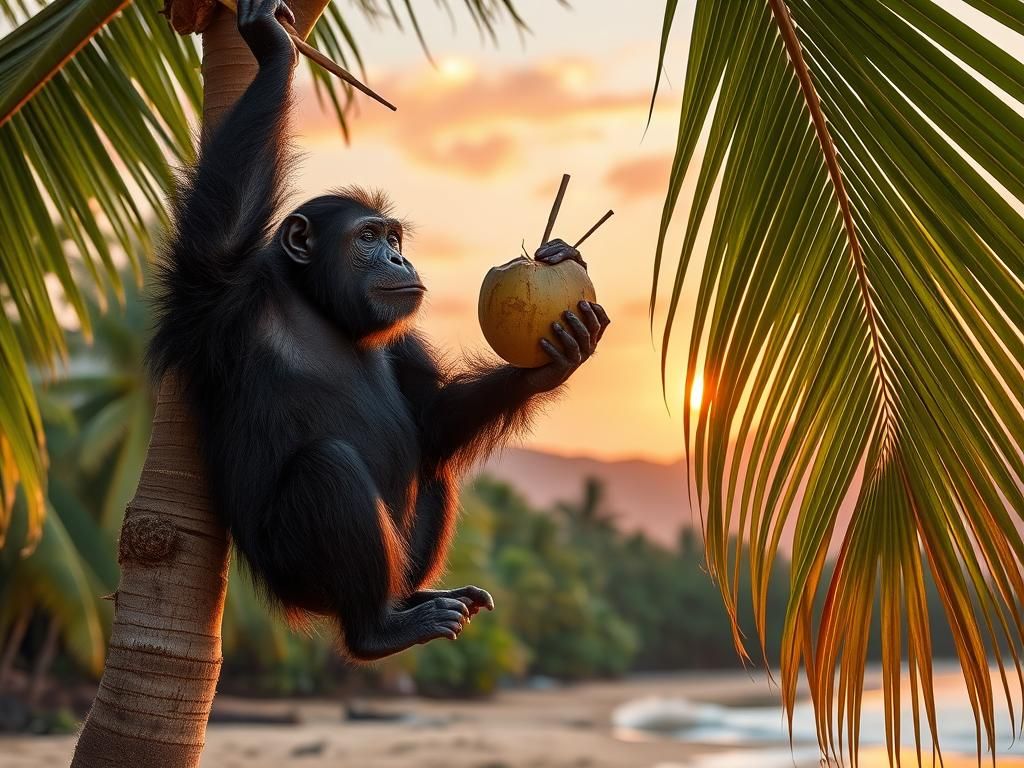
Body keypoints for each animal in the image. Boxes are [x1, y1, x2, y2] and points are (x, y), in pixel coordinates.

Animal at [147, 0, 610, 661]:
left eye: (394, 238)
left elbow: (433, 420)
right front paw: (273, 45)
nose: (397, 258)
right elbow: (224, 230)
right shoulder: (220, 296)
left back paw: (423, 599)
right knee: (328, 468)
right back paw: (381, 629)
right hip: (294, 573)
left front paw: (557, 357)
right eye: (367, 237)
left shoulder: (406, 340)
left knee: (435, 468)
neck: (317, 304)